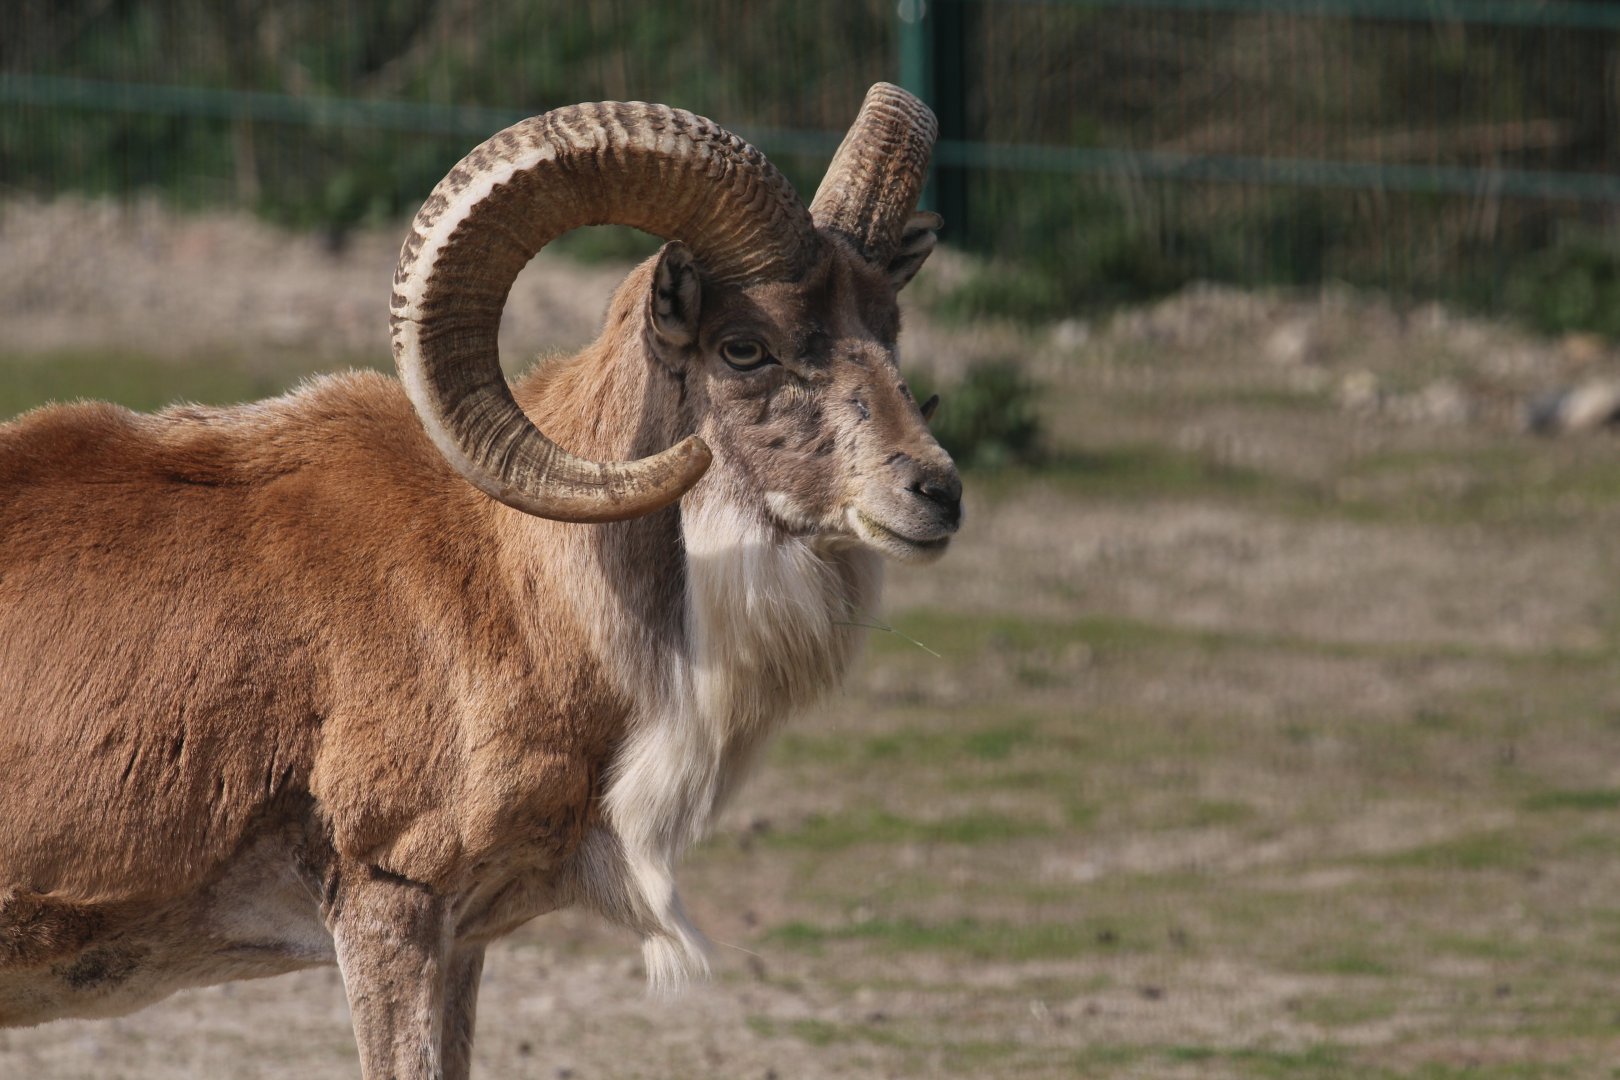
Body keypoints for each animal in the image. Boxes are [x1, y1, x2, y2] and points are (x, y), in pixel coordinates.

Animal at [0, 83, 959, 1079]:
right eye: (744, 348)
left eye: (888, 331)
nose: (935, 494)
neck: (514, 585)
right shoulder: (391, 908)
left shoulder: (462, 943)